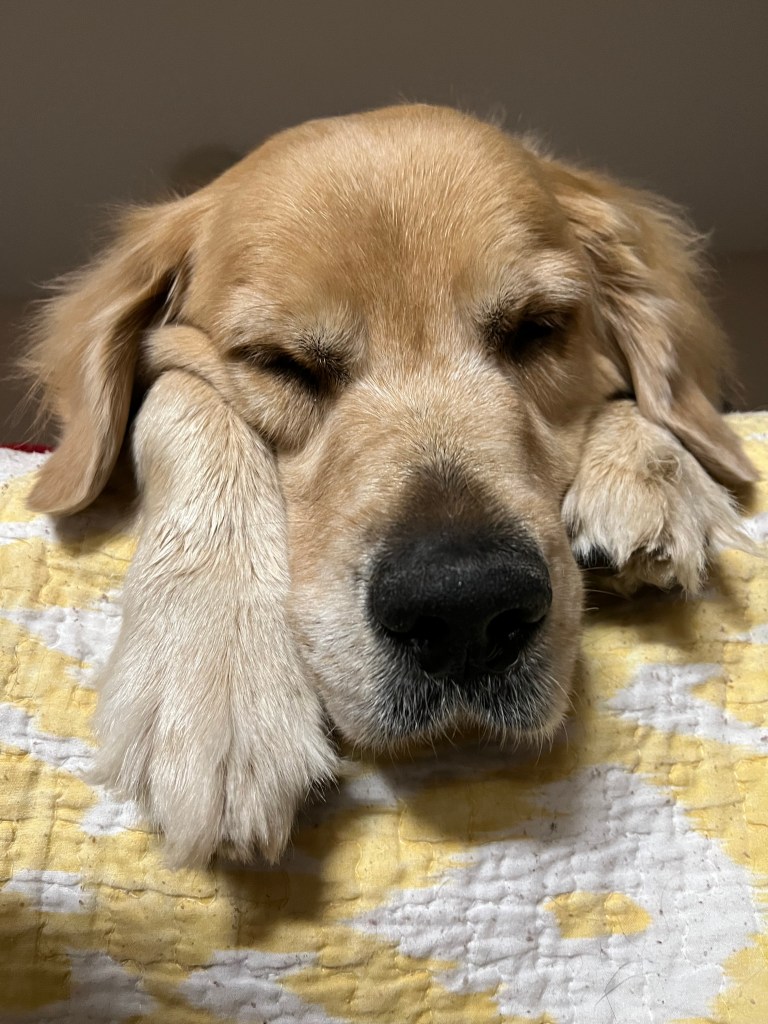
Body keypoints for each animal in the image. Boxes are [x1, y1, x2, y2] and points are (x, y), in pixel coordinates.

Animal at [25, 104, 757, 866]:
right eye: (280, 363)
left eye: (537, 329)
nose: (465, 608)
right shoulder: (186, 381)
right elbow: (183, 391)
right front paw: (218, 680)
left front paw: (649, 470)